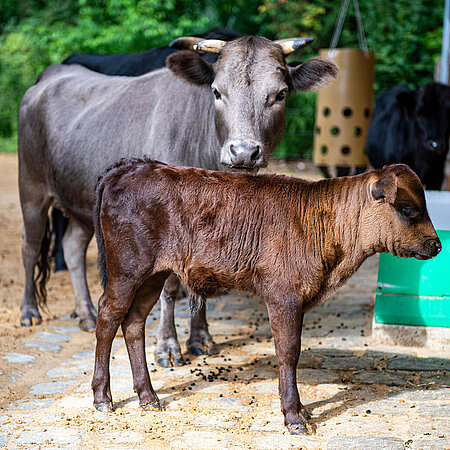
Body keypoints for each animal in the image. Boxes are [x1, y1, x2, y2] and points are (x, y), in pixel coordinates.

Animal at [91, 160, 440, 434]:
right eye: (409, 210)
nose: (436, 245)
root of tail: (130, 166)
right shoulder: (283, 297)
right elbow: (288, 352)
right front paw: (294, 417)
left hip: (153, 275)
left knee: (134, 322)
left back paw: (147, 397)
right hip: (127, 271)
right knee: (108, 316)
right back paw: (103, 398)